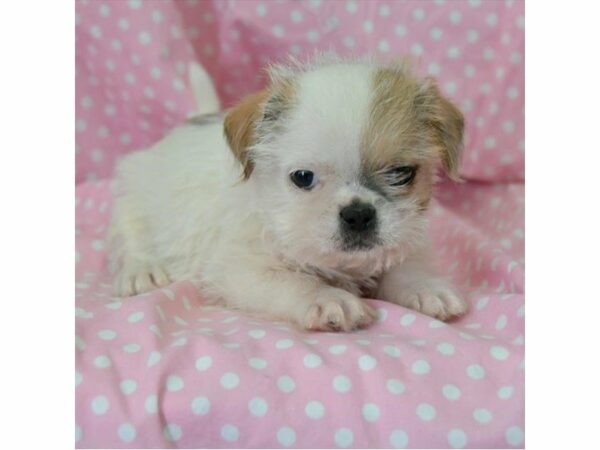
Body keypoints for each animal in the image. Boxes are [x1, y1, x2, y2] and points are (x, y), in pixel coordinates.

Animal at [111, 56, 468, 330]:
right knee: (130, 227)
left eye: (400, 173)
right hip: (139, 190)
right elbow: (294, 282)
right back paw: (142, 270)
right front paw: (329, 298)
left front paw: (426, 286)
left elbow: (406, 266)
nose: (358, 214)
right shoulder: (242, 270)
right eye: (303, 178)